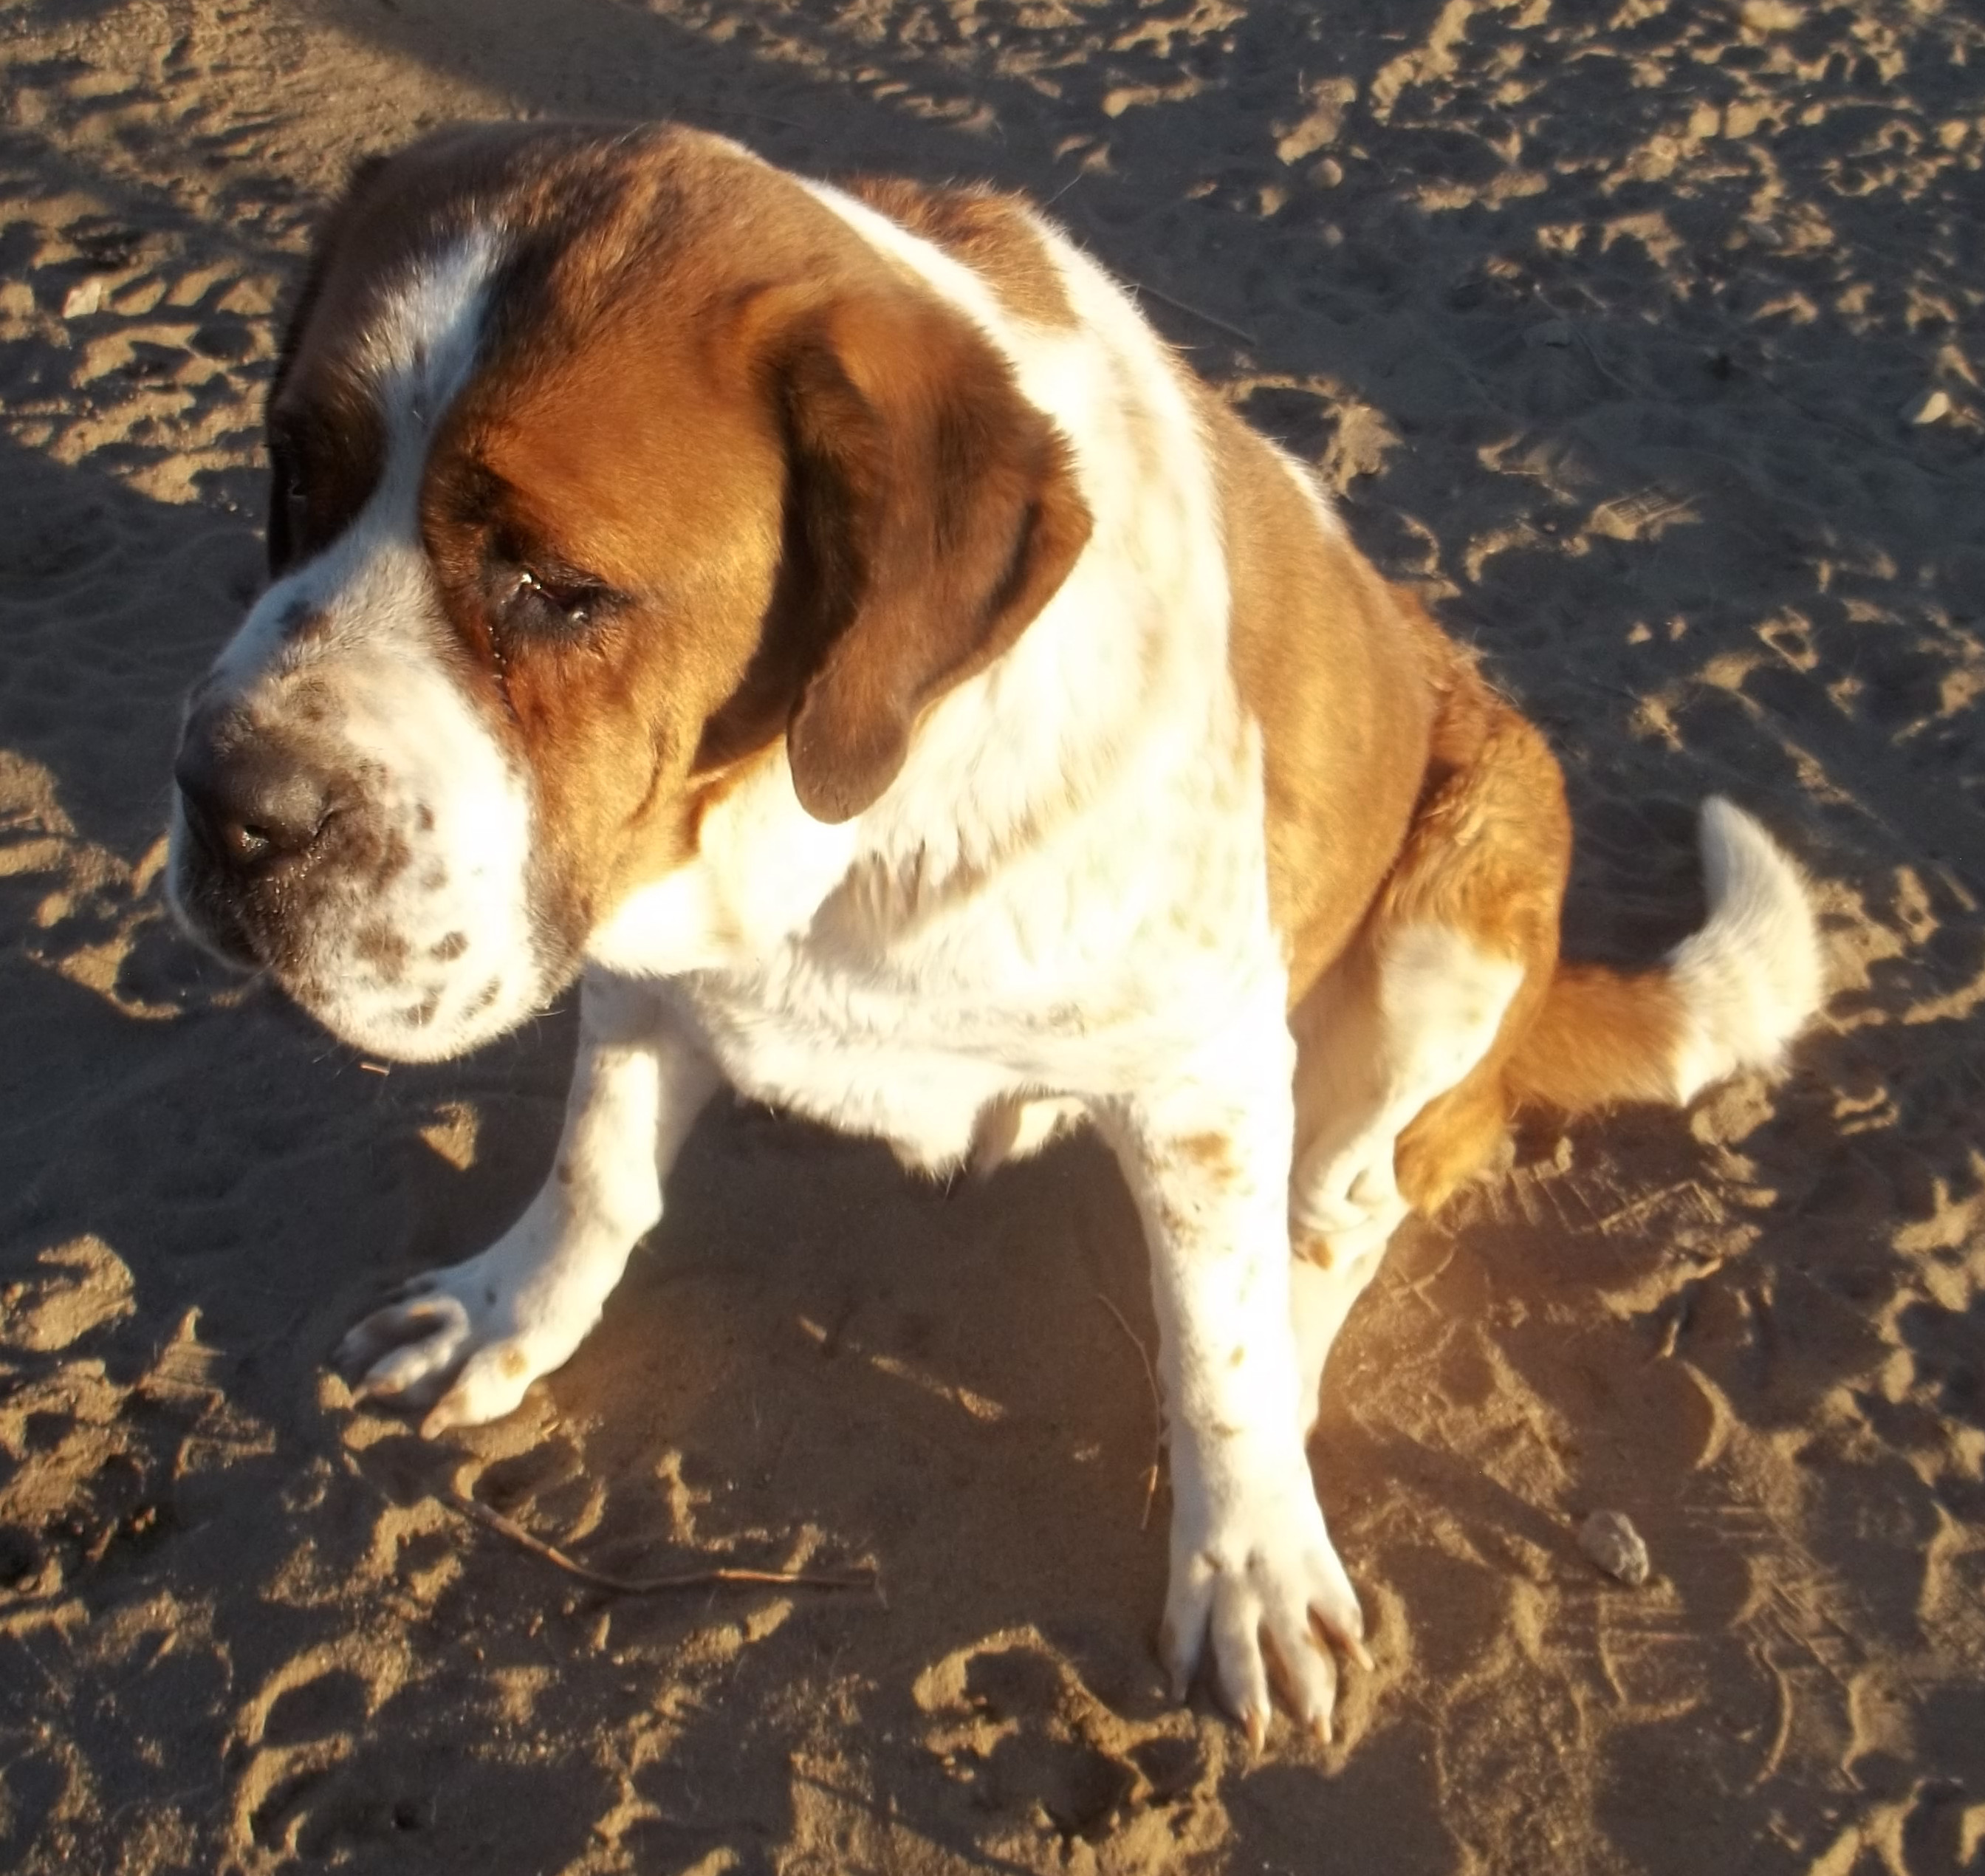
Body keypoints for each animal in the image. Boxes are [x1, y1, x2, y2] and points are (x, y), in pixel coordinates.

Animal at [162, 124, 1818, 1739]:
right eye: (292, 478)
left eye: (558, 590)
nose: (227, 806)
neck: (851, 815)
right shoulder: (637, 945)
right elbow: (597, 1172)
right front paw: (510, 1314)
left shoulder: (1208, 1075)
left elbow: (1217, 1358)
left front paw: (1248, 1556)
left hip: (1468, 884)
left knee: (1346, 1205)